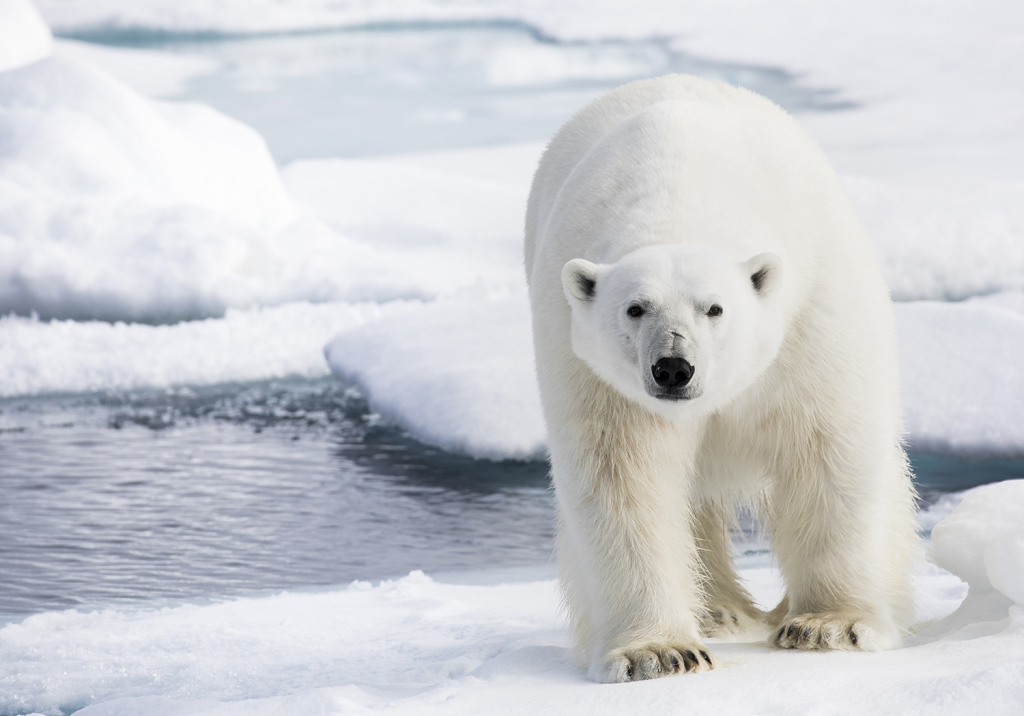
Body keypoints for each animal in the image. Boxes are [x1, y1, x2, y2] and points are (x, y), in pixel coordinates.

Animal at [524, 75, 917, 684]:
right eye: (634, 308)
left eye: (715, 308)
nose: (673, 368)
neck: (680, 190)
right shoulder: (592, 367)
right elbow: (623, 476)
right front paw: (659, 652)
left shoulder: (810, 314)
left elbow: (829, 449)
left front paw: (829, 625)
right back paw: (718, 610)